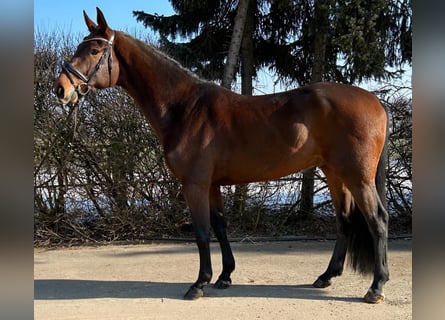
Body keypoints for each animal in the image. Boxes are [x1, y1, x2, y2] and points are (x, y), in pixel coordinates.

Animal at [54, 7, 388, 302]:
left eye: (95, 50)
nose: (61, 89)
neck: (185, 108)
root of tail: (376, 102)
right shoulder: (212, 184)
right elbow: (220, 226)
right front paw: (224, 276)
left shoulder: (194, 184)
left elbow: (202, 232)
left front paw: (199, 283)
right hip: (334, 173)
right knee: (344, 221)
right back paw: (326, 276)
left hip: (357, 177)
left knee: (377, 220)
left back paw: (376, 287)